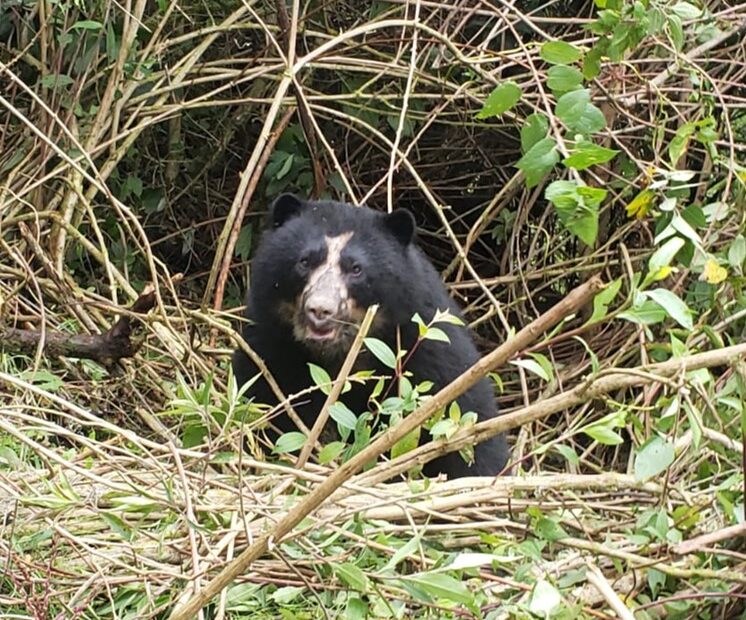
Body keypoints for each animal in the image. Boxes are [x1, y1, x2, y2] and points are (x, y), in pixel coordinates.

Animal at [232, 194, 508, 480]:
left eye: (356, 269)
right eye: (304, 261)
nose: (320, 310)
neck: (340, 351)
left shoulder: (426, 342)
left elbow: (466, 411)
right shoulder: (271, 342)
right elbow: (259, 399)